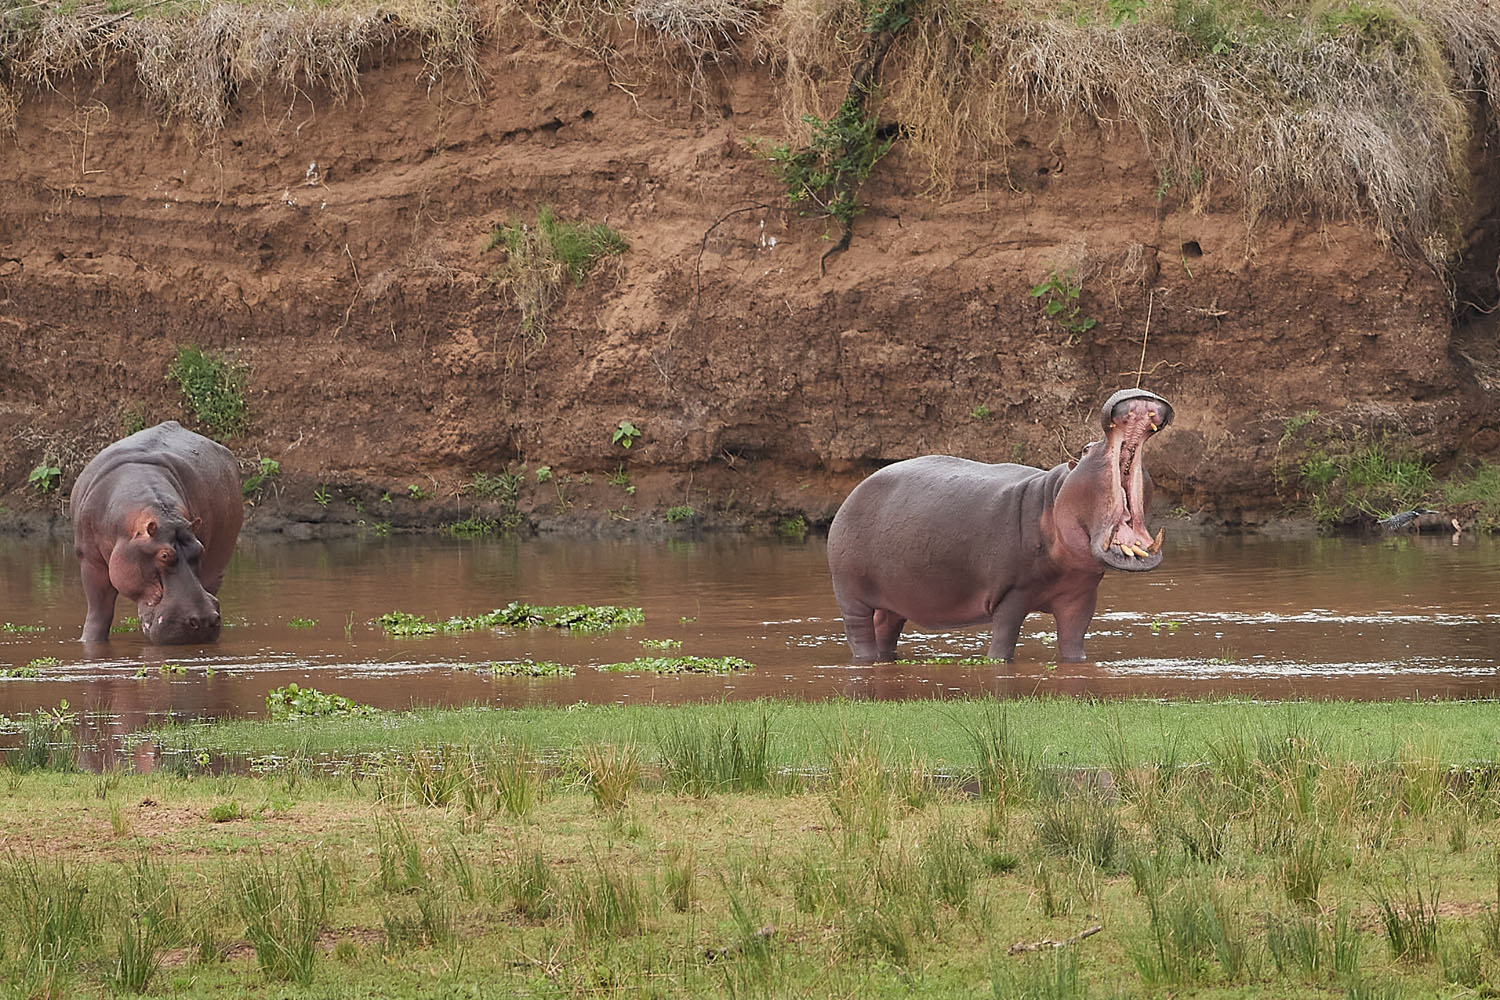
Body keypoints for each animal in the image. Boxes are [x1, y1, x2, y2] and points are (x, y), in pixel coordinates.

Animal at [70, 421, 243, 644]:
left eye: (200, 550)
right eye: (164, 555)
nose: (204, 620)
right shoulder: (90, 561)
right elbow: (99, 613)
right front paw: (89, 641)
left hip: (218, 567)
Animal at [827, 389, 1174, 663]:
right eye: (1086, 449)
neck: (1053, 500)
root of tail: (852, 493)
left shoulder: (1080, 597)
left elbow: (1073, 645)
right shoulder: (1012, 594)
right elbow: (1002, 646)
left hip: (893, 601)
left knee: (885, 628)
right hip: (850, 594)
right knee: (859, 634)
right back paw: (865, 658)